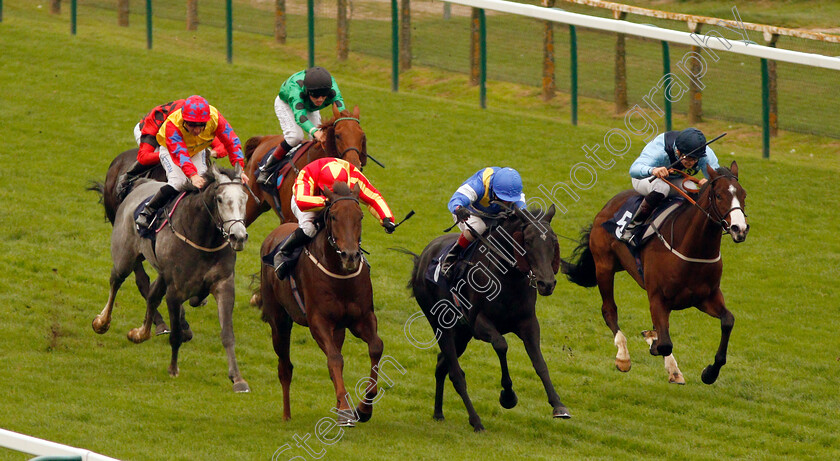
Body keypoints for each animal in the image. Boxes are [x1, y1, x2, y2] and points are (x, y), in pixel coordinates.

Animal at [92, 165, 251, 392]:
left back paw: (141, 333)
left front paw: (238, 379)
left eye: (244, 198)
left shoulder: (224, 284)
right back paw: (102, 322)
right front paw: (173, 369)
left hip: (161, 272)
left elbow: (227, 334)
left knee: (152, 295)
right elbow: (175, 334)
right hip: (125, 257)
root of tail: (140, 184)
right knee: (116, 281)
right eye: (220, 199)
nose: (238, 236)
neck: (203, 237)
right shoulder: (175, 291)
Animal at [260, 181, 384, 426]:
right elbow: (335, 359)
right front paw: (345, 410)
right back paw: (286, 415)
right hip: (279, 321)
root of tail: (273, 235)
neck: (340, 275)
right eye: (334, 217)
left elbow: (376, 346)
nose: (350, 256)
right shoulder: (319, 321)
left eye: (360, 216)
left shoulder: (362, 317)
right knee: (285, 367)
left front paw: (364, 408)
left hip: (339, 329)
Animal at [402, 205, 572, 432]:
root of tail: (421, 258)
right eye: (528, 241)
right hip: (440, 325)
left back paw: (438, 412)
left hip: (461, 334)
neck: (508, 278)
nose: (547, 283)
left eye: (553, 241)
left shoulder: (528, 323)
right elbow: (501, 345)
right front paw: (508, 396)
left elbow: (539, 362)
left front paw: (558, 405)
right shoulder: (479, 324)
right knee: (456, 374)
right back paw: (476, 421)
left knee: (441, 364)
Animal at [564, 162, 748, 384]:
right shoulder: (658, 298)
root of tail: (608, 205)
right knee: (609, 310)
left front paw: (709, 373)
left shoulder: (706, 297)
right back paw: (623, 357)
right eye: (719, 195)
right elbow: (665, 344)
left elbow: (728, 321)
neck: (692, 250)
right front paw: (655, 347)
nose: (740, 229)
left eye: (744, 195)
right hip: (604, 265)